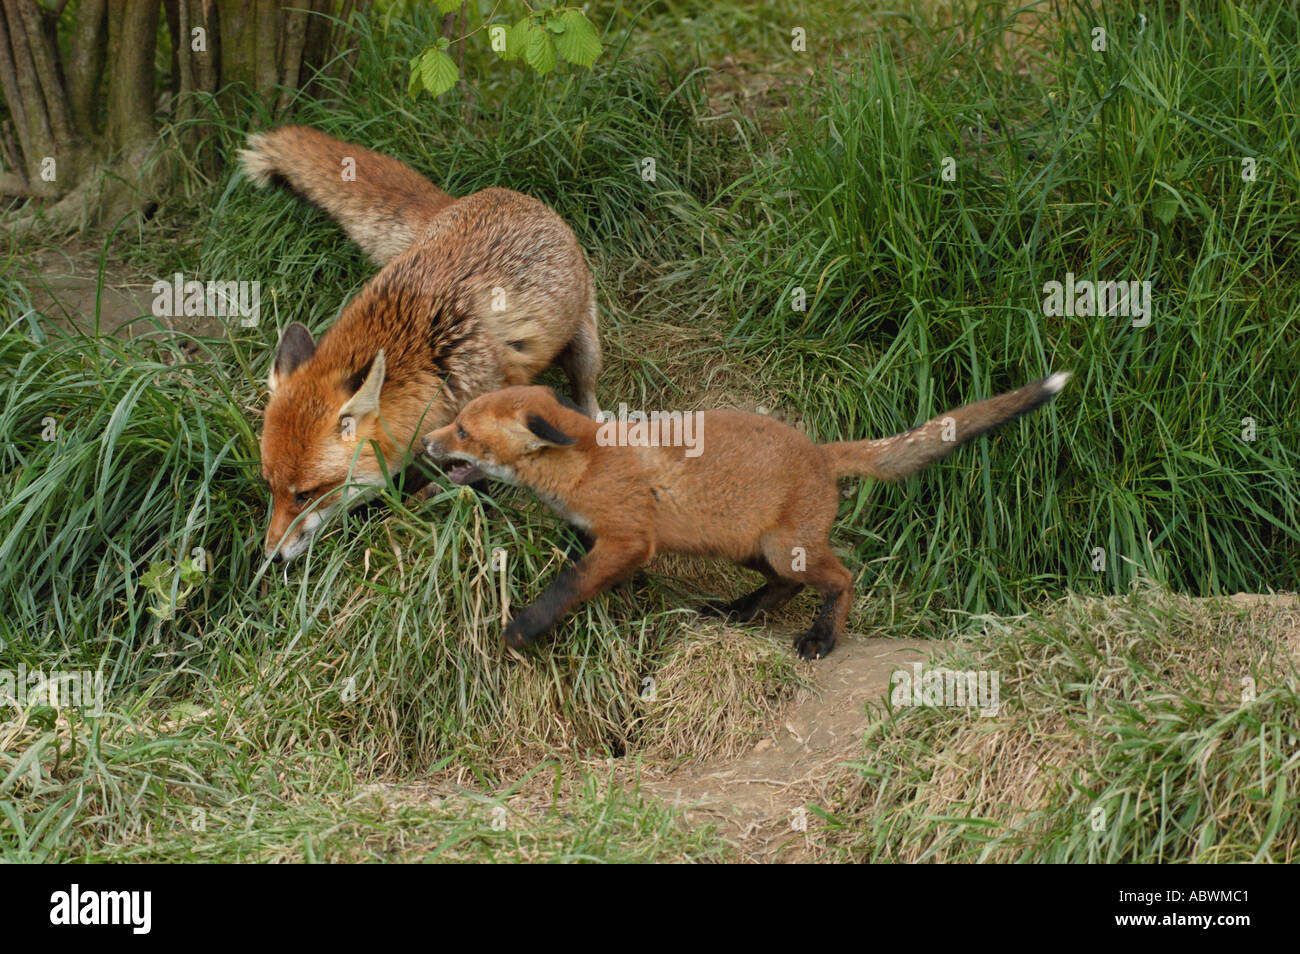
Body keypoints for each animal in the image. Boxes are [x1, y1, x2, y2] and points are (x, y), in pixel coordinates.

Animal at [239, 126, 603, 562]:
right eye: (271, 486)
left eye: (307, 494)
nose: (271, 556)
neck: (427, 362)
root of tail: (479, 196)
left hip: (585, 345)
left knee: (586, 388)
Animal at [421, 373, 1071, 659]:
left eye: (462, 431)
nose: (426, 443)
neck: (585, 464)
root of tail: (821, 452)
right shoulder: (599, 536)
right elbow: (585, 568)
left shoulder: (629, 538)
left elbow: (569, 584)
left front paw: (524, 628)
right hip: (749, 551)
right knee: (785, 586)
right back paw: (739, 612)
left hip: (787, 549)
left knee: (843, 578)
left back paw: (820, 638)